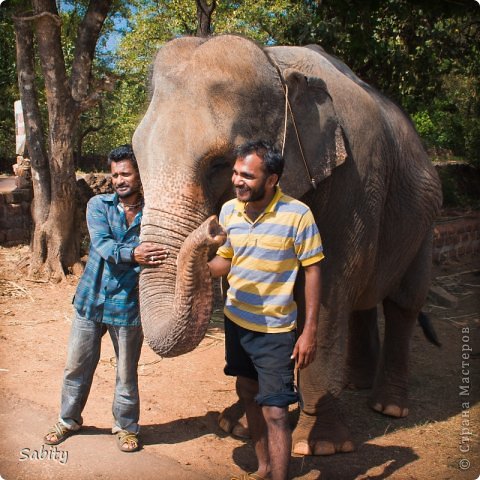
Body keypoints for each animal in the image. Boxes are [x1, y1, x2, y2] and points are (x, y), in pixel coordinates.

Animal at [131, 35, 442, 456]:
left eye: (219, 164)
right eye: (136, 156)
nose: (214, 228)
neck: (276, 64)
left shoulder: (354, 183)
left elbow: (325, 292)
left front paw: (320, 445)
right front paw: (238, 425)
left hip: (425, 220)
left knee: (402, 303)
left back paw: (387, 406)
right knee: (362, 300)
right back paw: (354, 383)